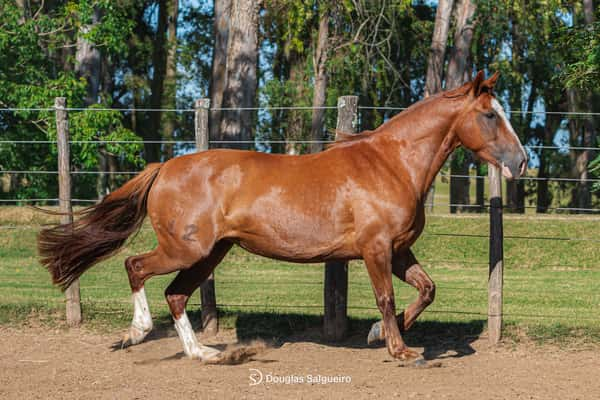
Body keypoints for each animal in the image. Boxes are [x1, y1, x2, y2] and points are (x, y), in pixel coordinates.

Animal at [38, 72, 524, 362]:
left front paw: (374, 335)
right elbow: (386, 298)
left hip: (209, 254)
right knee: (135, 266)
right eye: (489, 115)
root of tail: (165, 167)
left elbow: (426, 290)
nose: (520, 163)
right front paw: (399, 349)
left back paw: (204, 353)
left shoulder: (399, 249)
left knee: (175, 295)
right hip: (184, 248)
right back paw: (138, 332)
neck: (391, 164)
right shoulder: (375, 249)